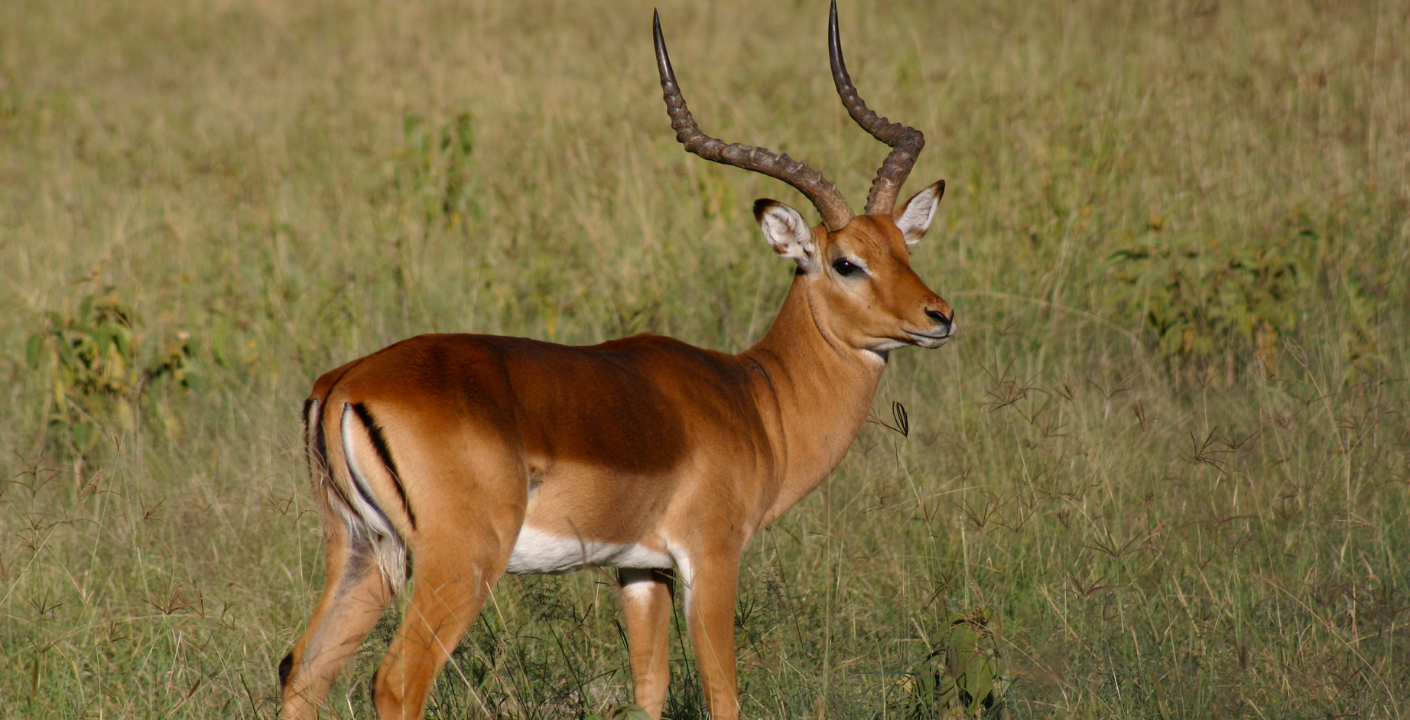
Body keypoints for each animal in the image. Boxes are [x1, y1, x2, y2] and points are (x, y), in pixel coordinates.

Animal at [279, 3, 955, 718]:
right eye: (846, 262)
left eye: (903, 249)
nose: (939, 317)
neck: (755, 399)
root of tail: (345, 384)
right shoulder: (710, 558)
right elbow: (722, 693)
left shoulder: (639, 568)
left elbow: (648, 687)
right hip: (456, 563)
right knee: (398, 679)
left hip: (363, 553)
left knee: (302, 669)